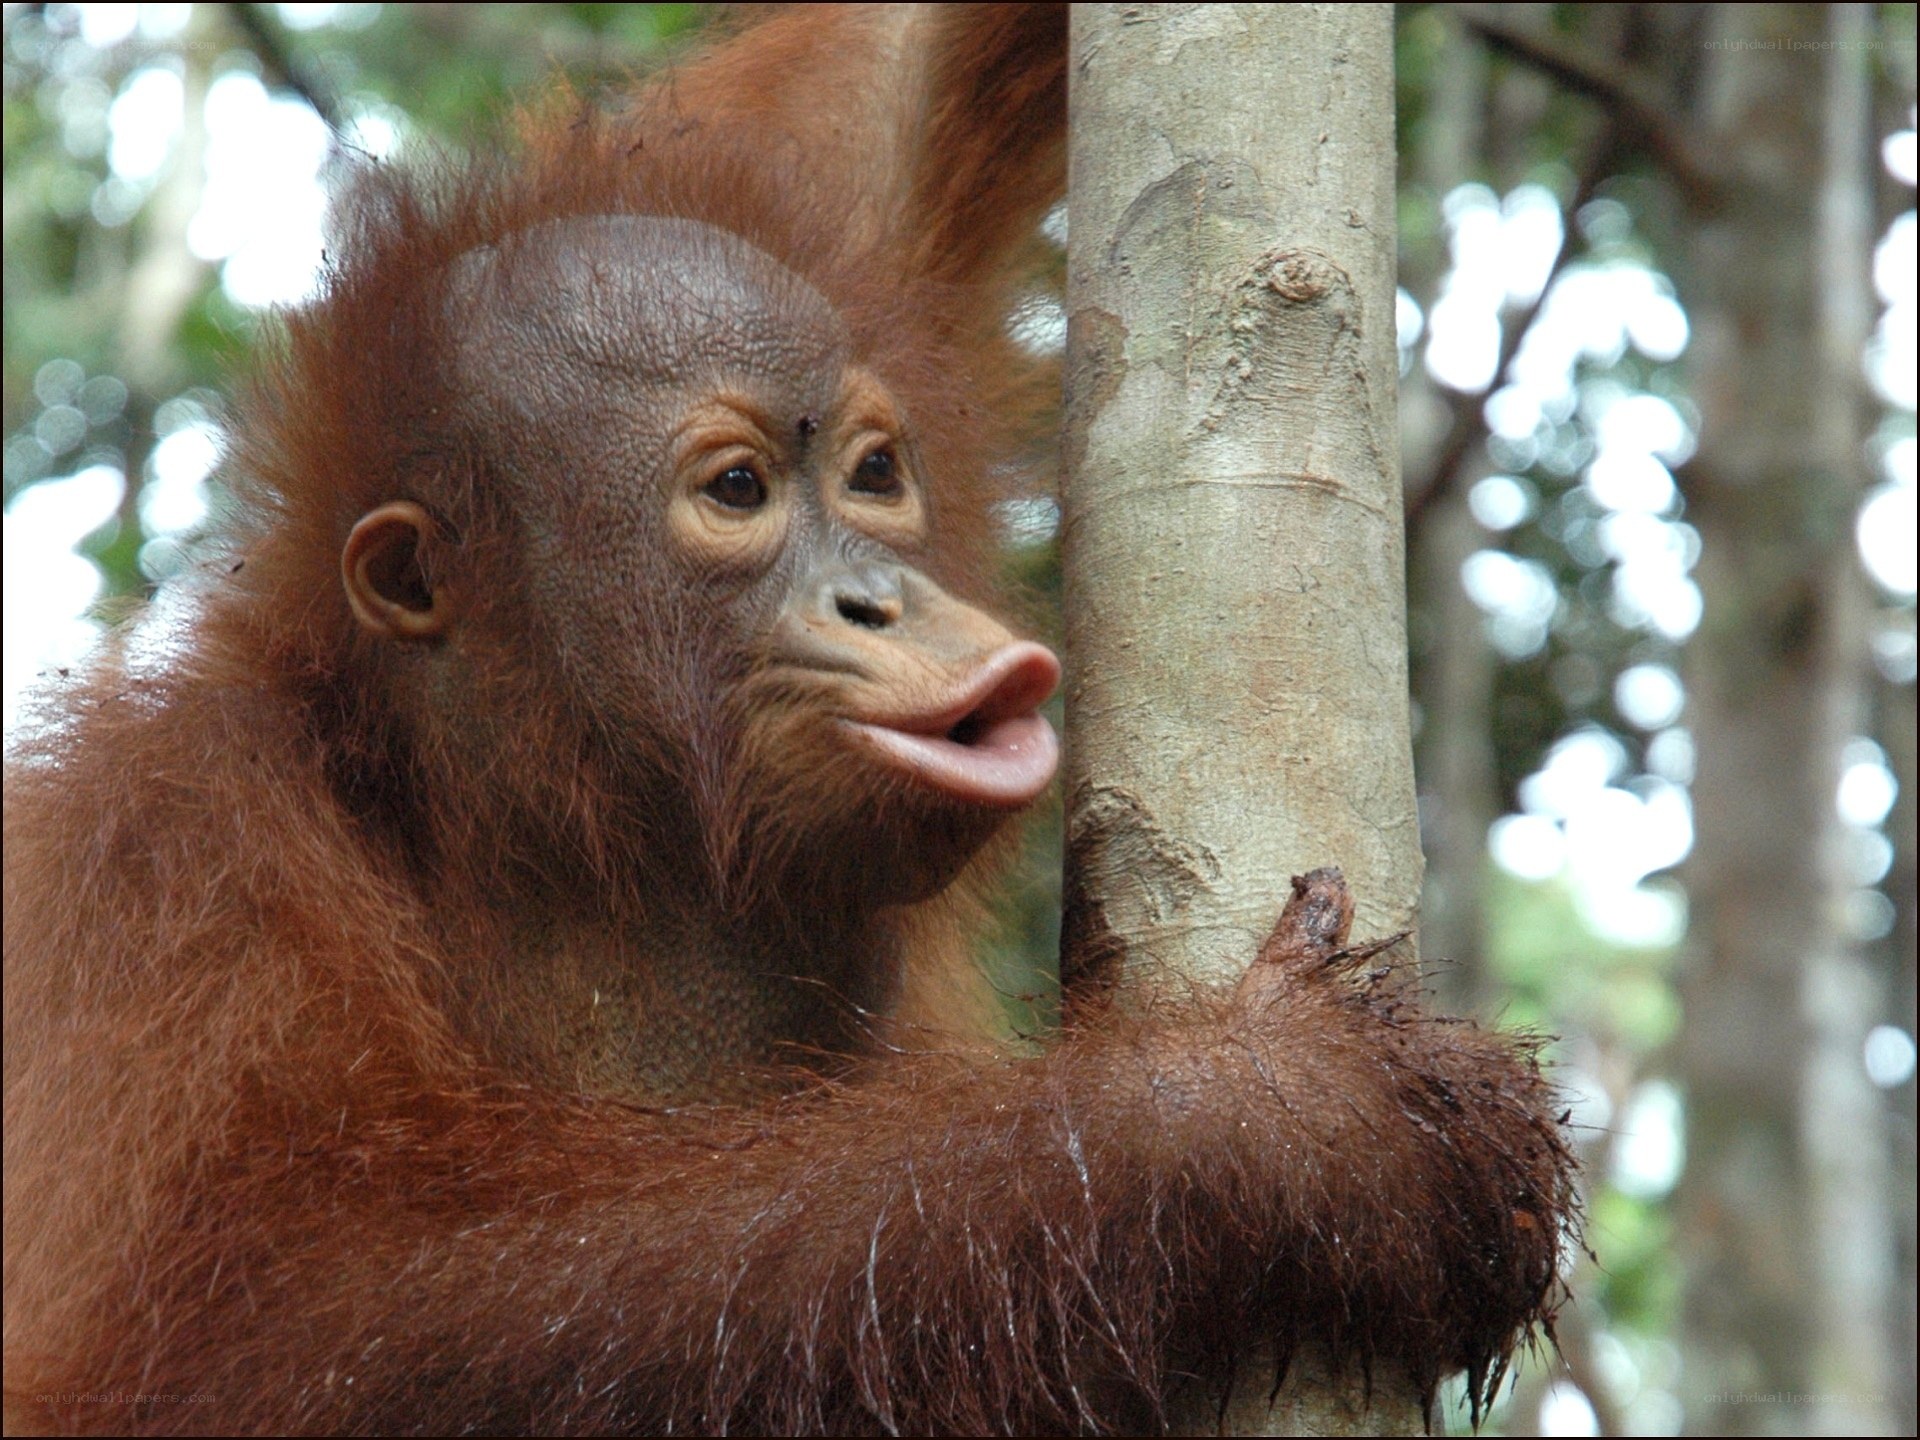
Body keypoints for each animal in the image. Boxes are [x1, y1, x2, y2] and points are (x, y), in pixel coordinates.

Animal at [3, 6, 1573, 1434]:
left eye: (874, 473)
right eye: (740, 492)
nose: (881, 597)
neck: (564, 843)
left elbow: (900, 69)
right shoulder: (171, 860)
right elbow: (246, 1334)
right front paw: (1268, 1117)